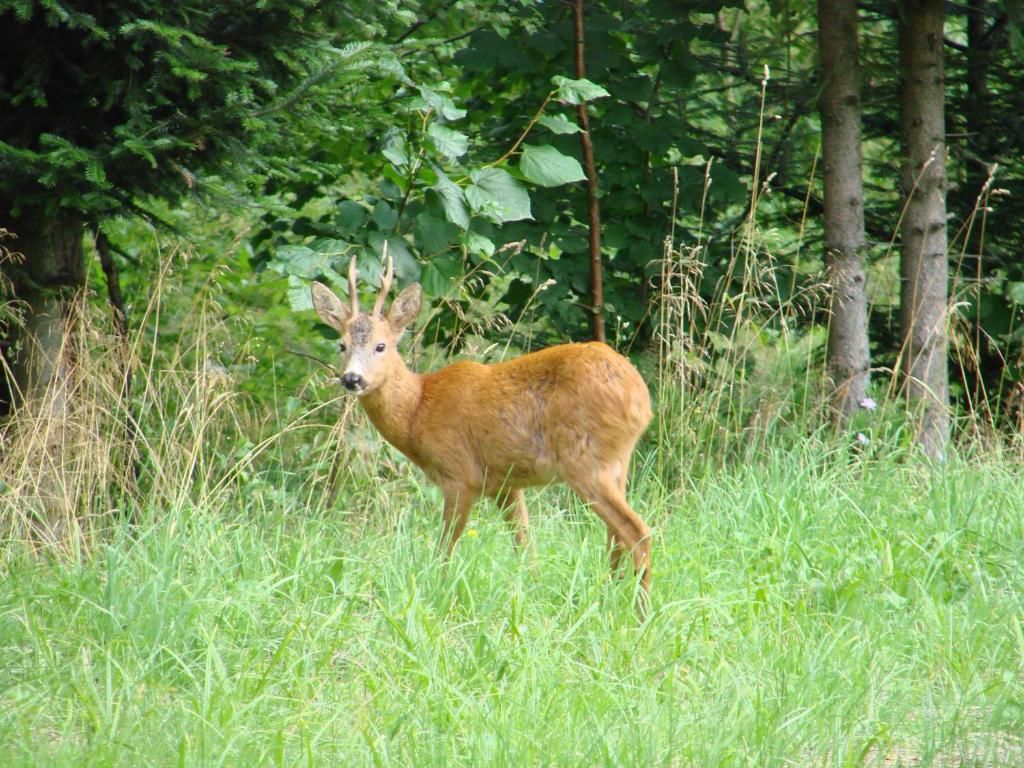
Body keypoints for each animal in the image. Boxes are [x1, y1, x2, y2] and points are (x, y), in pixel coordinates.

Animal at [307, 257, 651, 593]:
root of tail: (641, 398)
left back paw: (638, 604)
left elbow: (445, 548)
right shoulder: (505, 484)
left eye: (381, 346)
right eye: (341, 345)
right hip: (616, 462)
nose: (352, 379)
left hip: (584, 459)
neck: (418, 409)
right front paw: (531, 591)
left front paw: (440, 591)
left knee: (637, 531)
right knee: (616, 537)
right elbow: (524, 544)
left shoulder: (459, 474)